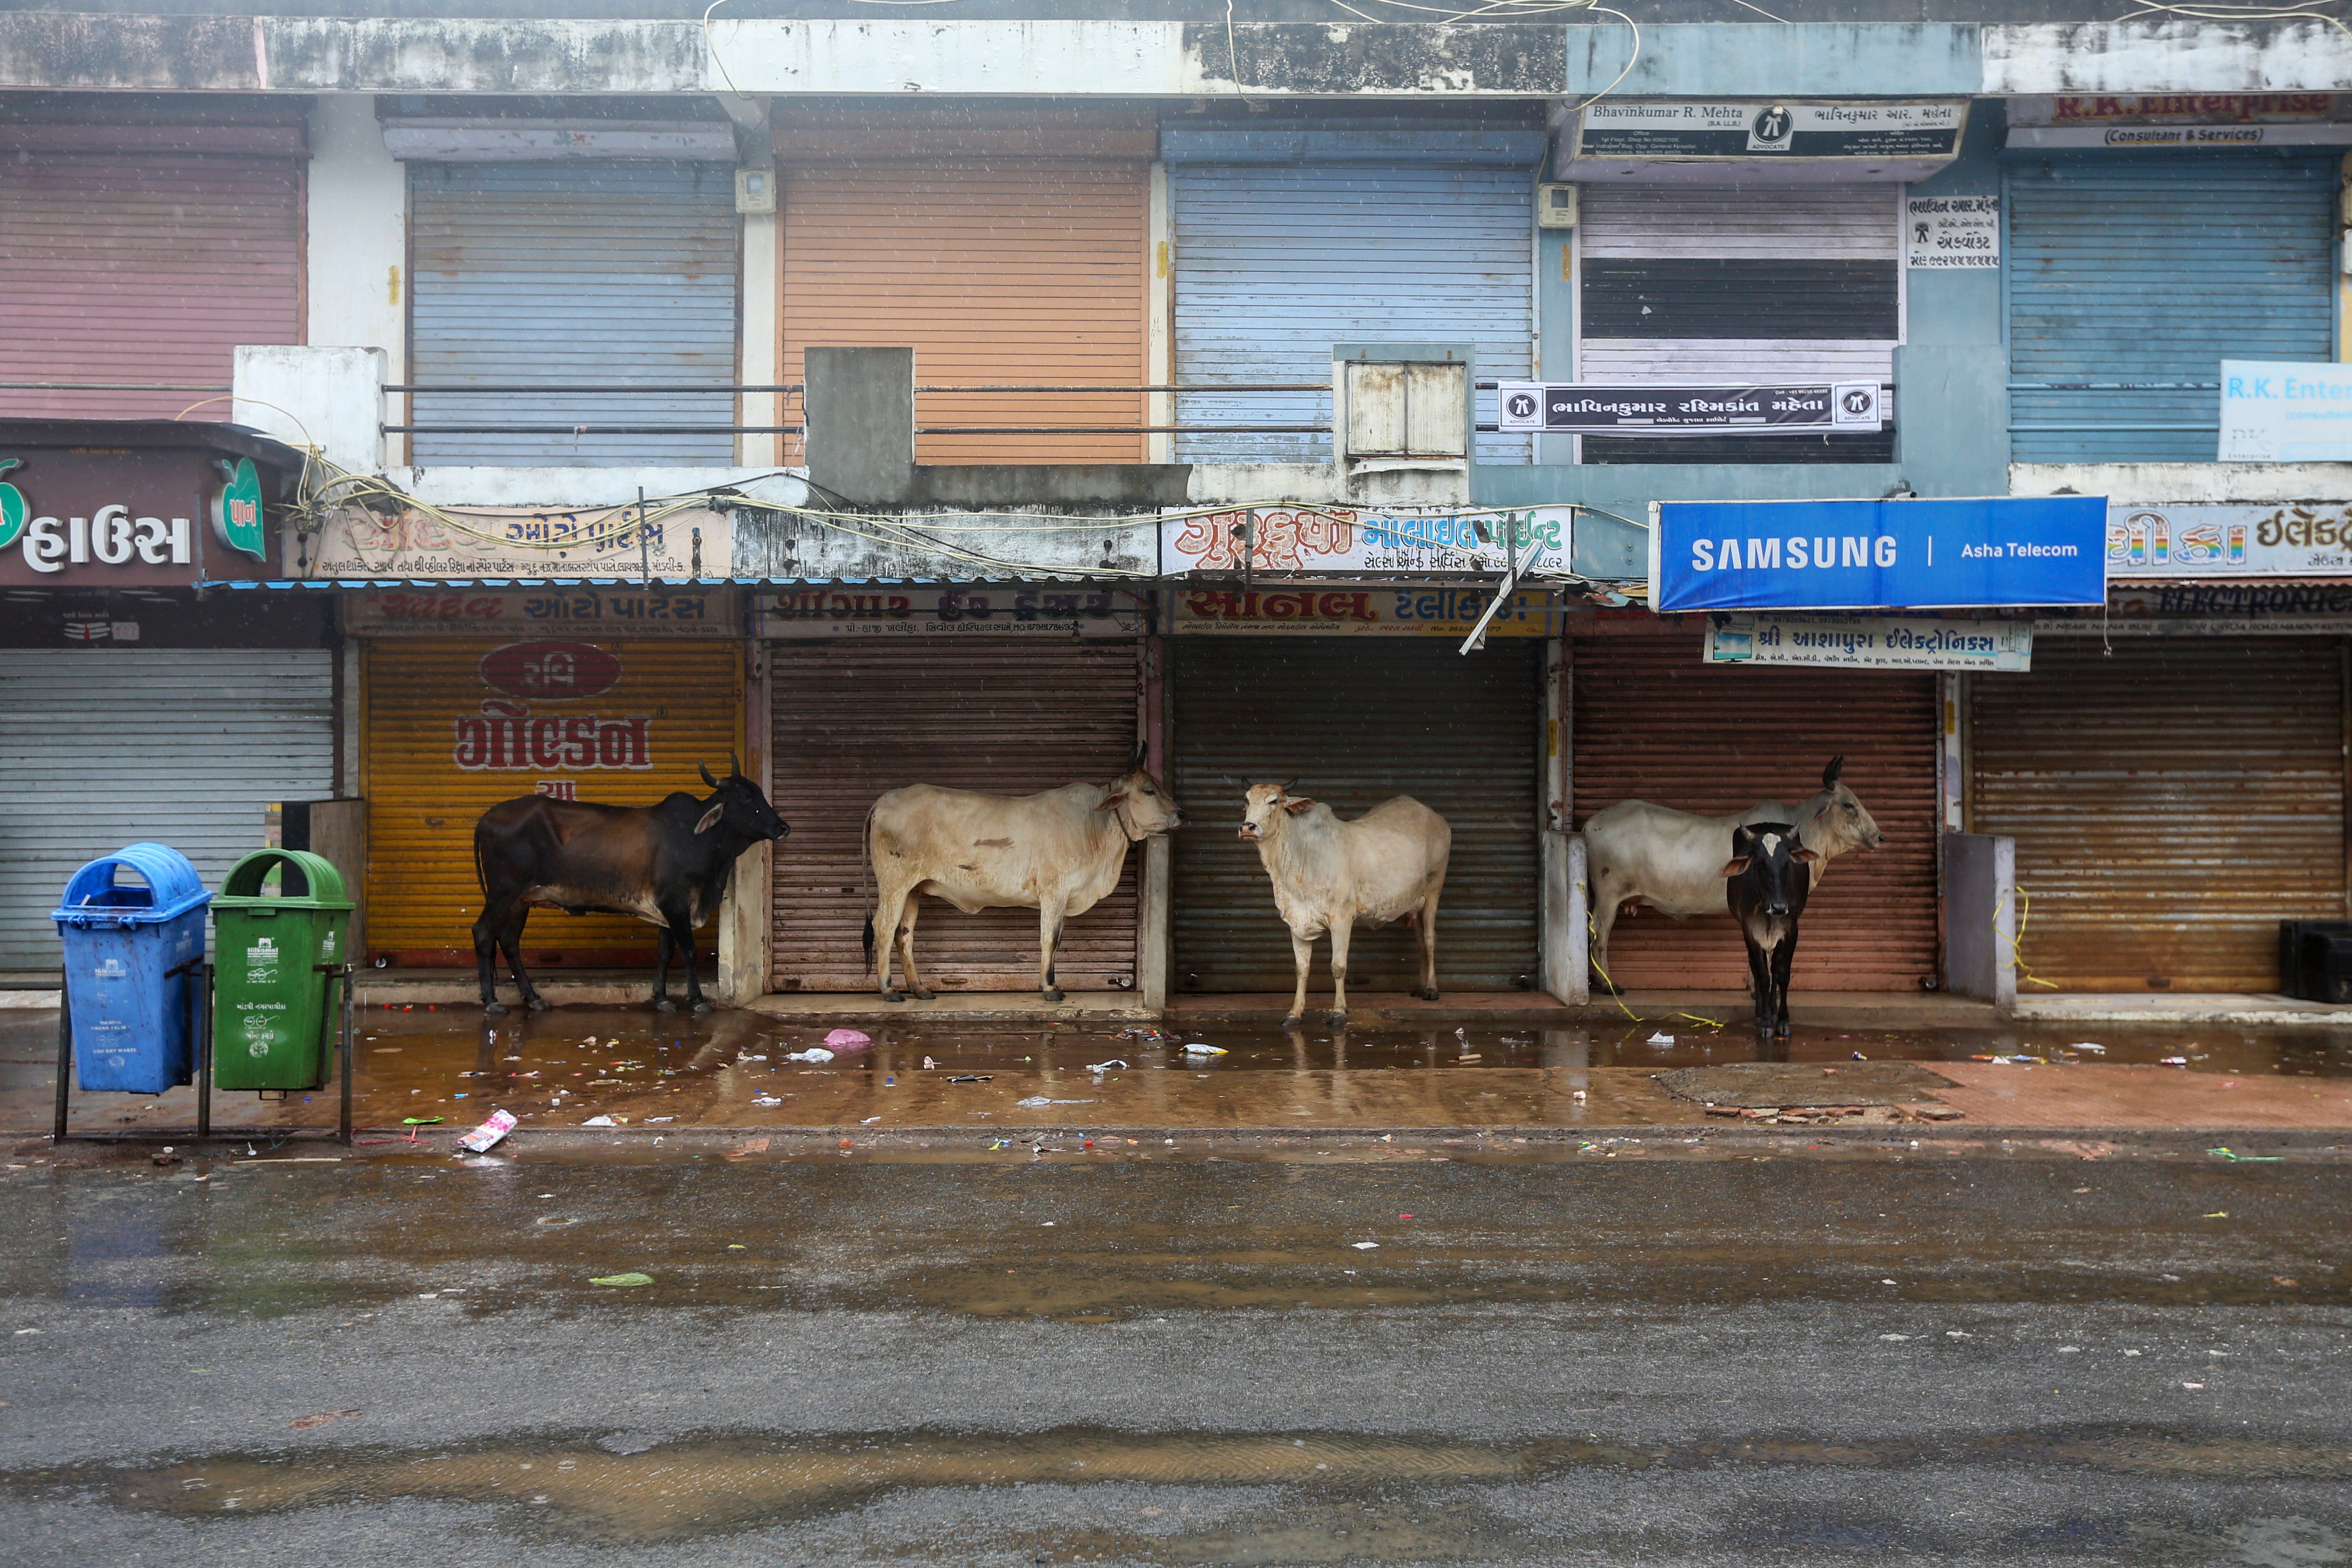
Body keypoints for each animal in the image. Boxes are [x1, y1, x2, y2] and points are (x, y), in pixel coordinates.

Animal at [865, 761, 1185, 1006]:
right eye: (1149, 790)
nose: (1181, 814)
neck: (1093, 823)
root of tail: (884, 800)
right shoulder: (1054, 892)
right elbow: (1050, 939)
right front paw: (1049, 988)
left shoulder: (1063, 897)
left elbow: (1057, 940)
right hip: (894, 883)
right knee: (884, 927)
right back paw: (889, 990)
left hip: (913, 889)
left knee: (904, 934)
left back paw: (920, 989)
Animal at [1242, 780, 1439, 1030]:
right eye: (1247, 800)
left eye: (1274, 801)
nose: (1248, 827)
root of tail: (1434, 816)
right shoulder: (1296, 922)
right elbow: (1302, 969)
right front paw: (1295, 1013)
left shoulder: (1342, 920)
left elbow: (1338, 966)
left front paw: (1339, 1012)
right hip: (1416, 903)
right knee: (1421, 941)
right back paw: (1421, 987)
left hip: (1433, 891)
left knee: (1430, 939)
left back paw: (1431, 989)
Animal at [1580, 757, 1891, 992]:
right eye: (1849, 805)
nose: (1879, 836)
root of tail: (1591, 823)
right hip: (1608, 896)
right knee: (1599, 935)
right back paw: (1608, 985)